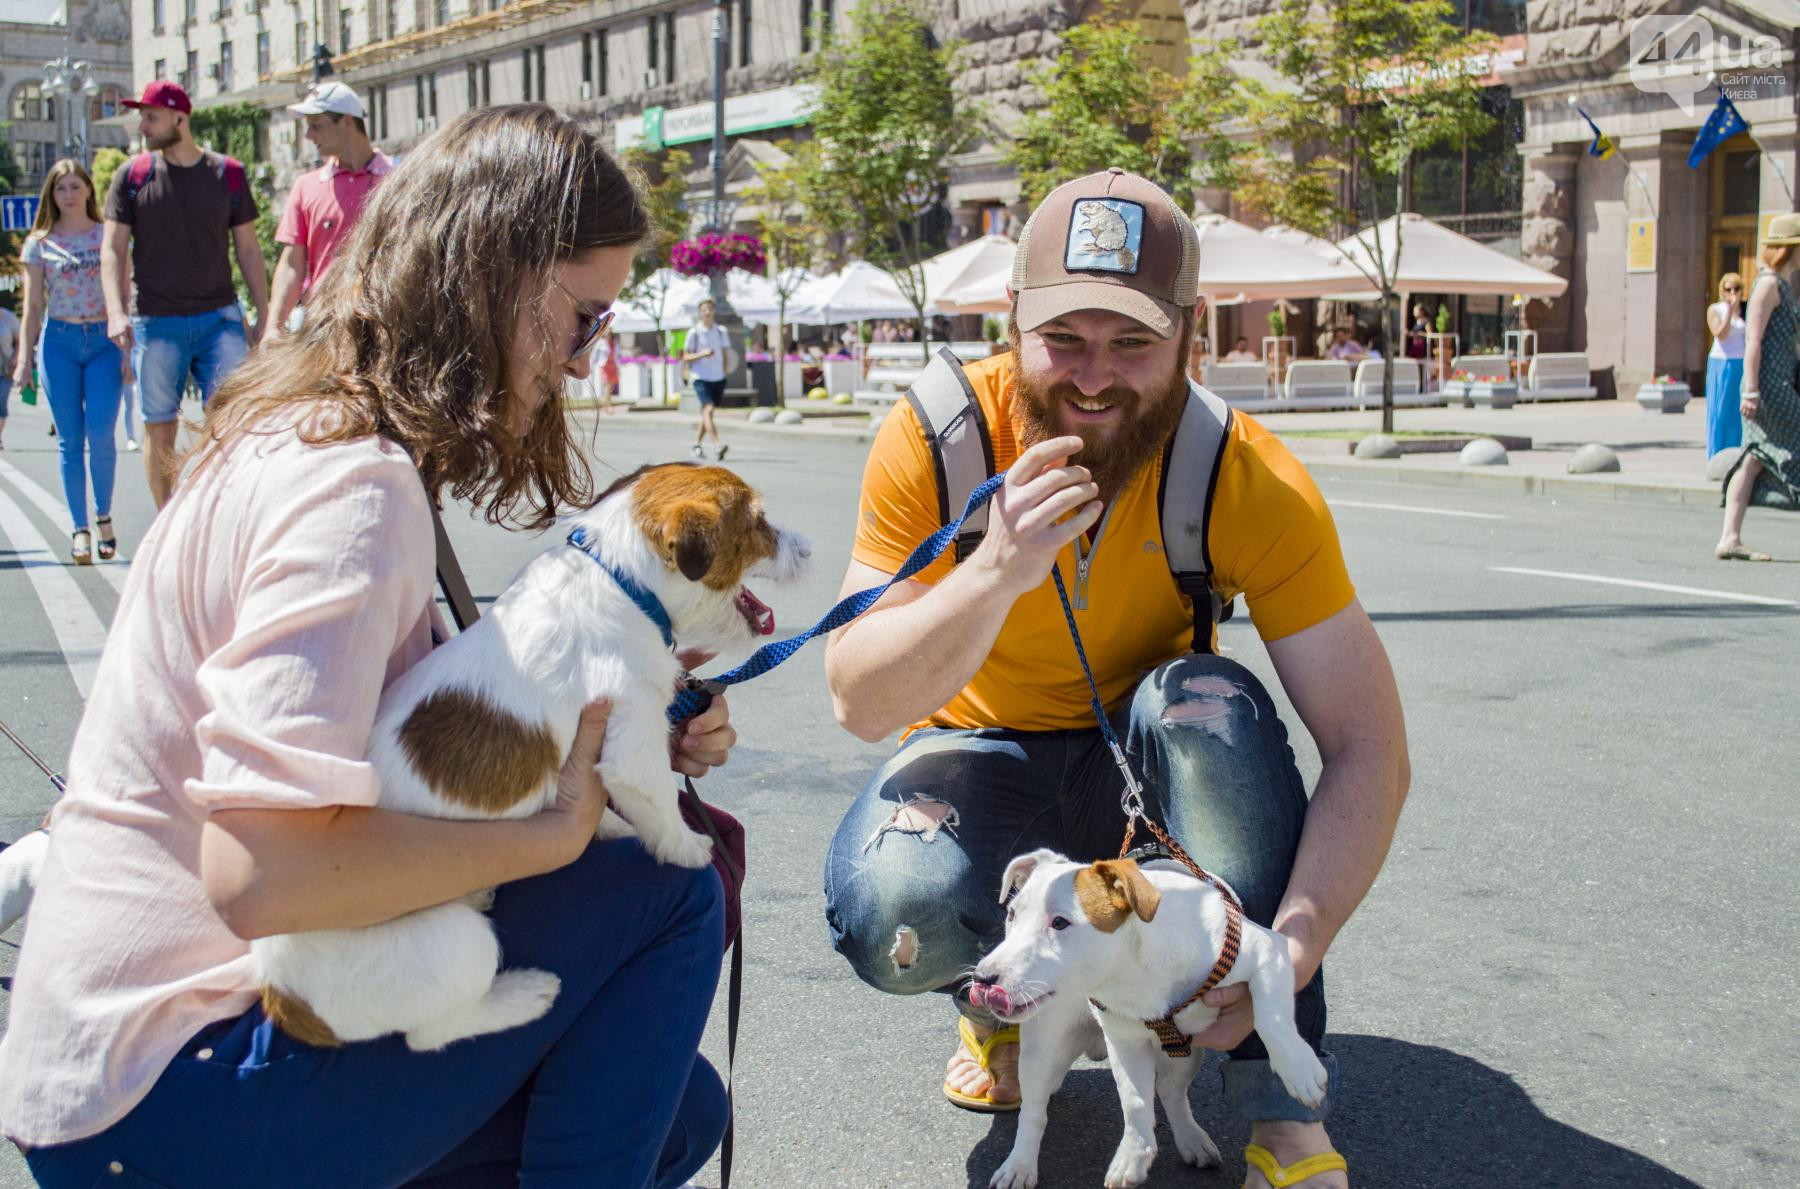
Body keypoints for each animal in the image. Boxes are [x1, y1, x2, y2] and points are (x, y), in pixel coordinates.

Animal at [972, 845, 1324, 1187]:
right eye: (1012, 915)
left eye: (1060, 923)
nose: (983, 978)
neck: (1130, 971)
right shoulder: (1125, 1040)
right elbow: (1135, 1099)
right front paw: (1133, 1155)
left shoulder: (1267, 949)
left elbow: (1270, 1017)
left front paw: (1299, 1070)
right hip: (1041, 1050)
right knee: (1034, 1111)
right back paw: (1019, 1165)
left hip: (1186, 1053)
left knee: (1171, 1091)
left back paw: (1192, 1140)